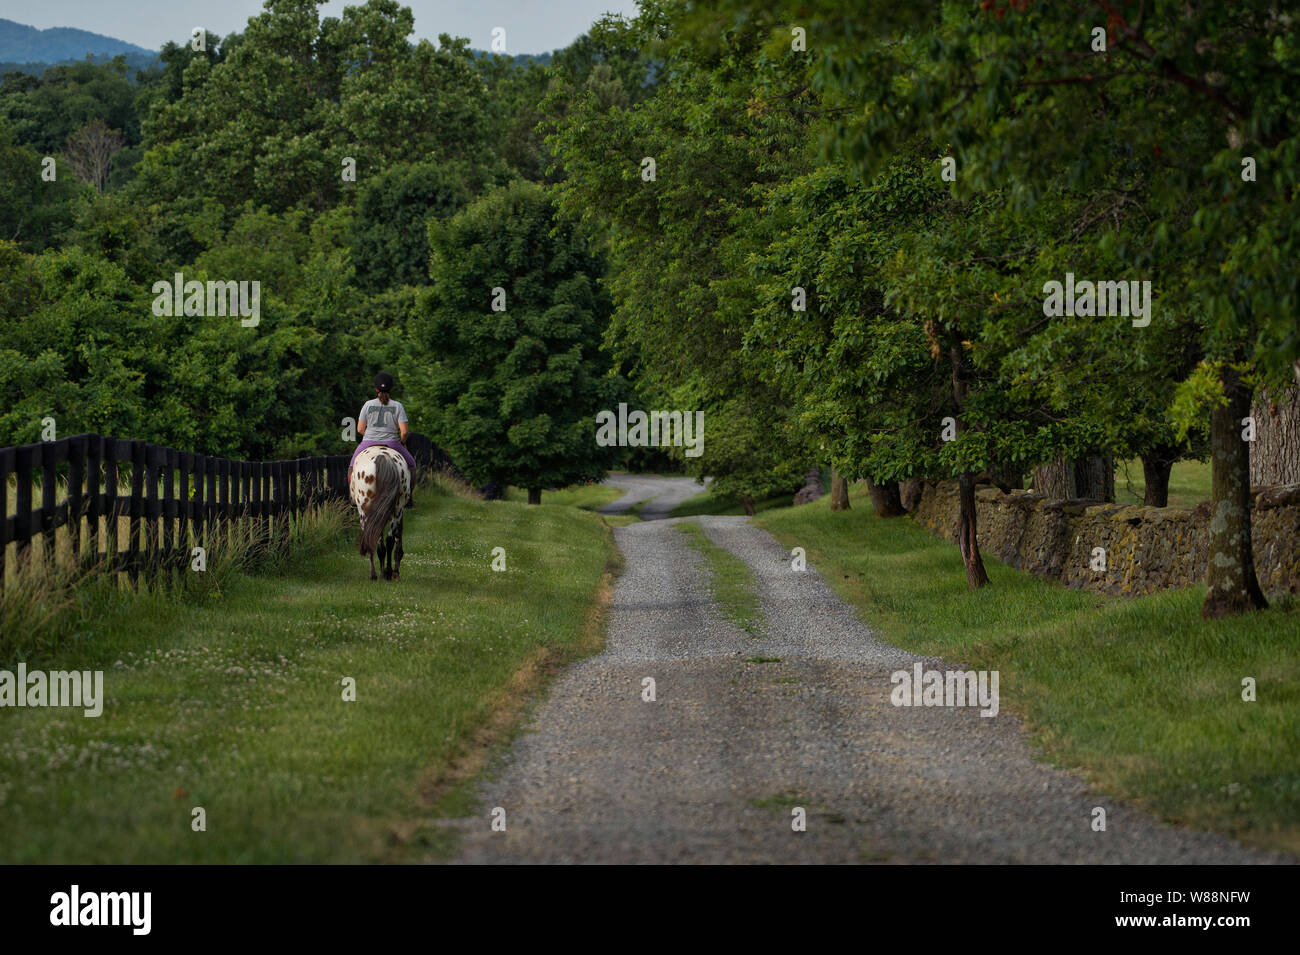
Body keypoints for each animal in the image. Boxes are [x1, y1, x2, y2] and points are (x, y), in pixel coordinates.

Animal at [348, 446, 408, 582]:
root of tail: (382, 455)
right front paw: (392, 571)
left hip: (365, 511)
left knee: (372, 538)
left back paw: (376, 574)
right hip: (397, 509)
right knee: (388, 539)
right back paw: (388, 572)